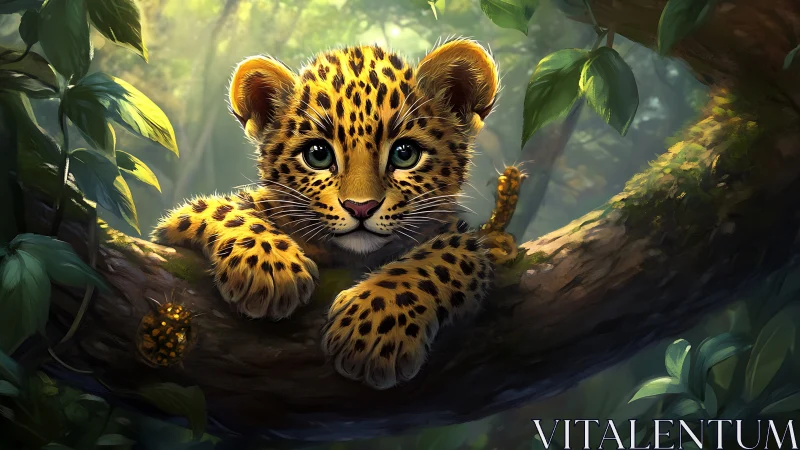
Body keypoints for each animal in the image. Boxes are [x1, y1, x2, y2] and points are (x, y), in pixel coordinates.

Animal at [151, 38, 515, 390]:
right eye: (318, 154)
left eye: (405, 153)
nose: (360, 207)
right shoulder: (175, 224)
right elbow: (223, 209)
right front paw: (269, 268)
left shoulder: (458, 237)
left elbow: (442, 256)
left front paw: (374, 327)